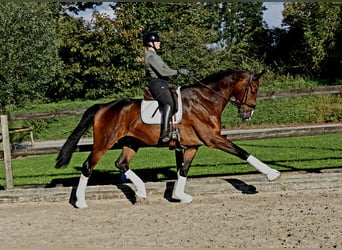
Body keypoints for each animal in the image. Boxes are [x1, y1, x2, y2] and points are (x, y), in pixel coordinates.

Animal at [55, 69, 280, 208]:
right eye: (254, 89)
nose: (248, 114)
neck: (206, 100)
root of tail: (103, 107)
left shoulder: (193, 145)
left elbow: (183, 170)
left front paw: (181, 196)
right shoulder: (213, 139)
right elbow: (242, 151)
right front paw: (272, 174)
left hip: (131, 143)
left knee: (121, 163)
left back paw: (142, 191)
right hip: (104, 142)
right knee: (88, 166)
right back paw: (81, 202)